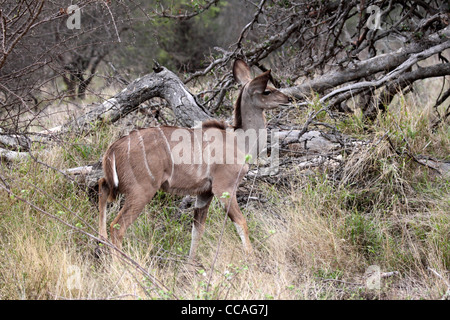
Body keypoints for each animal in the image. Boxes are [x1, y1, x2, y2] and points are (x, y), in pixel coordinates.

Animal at [97, 60, 290, 262]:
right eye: (267, 90)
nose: (288, 98)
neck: (239, 140)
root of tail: (113, 148)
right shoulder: (224, 188)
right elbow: (241, 222)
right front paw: (252, 259)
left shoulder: (204, 193)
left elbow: (197, 230)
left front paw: (191, 264)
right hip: (141, 191)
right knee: (117, 227)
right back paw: (121, 265)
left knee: (102, 187)